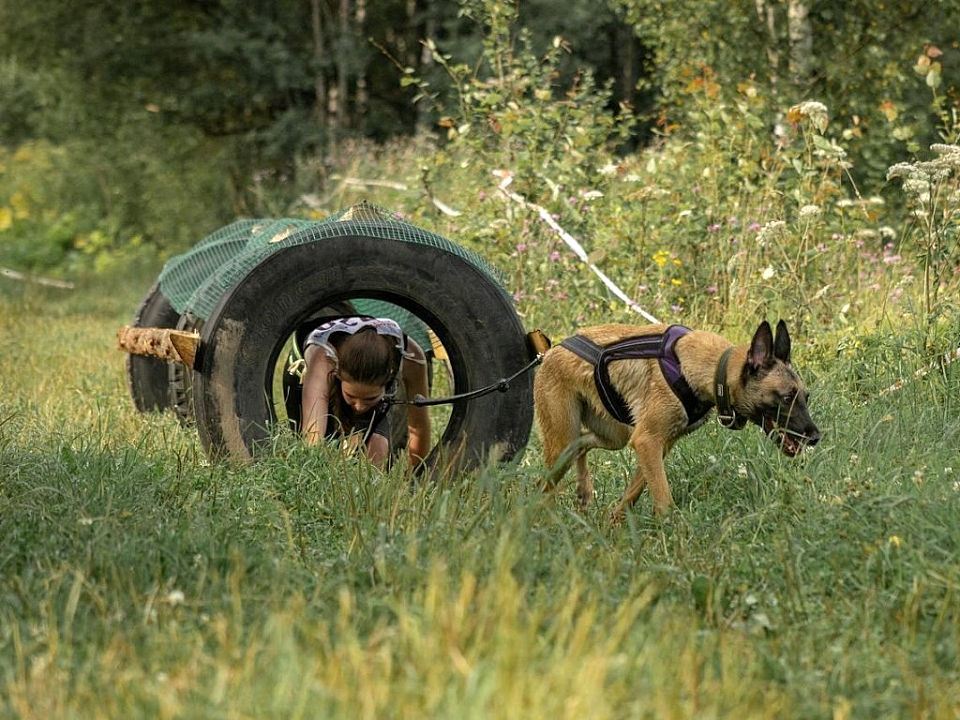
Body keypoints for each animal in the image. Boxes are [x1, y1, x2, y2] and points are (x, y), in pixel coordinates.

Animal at [536, 320, 820, 516]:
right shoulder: (647, 441)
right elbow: (664, 502)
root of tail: (550, 353)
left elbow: (632, 495)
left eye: (806, 397)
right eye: (787, 398)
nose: (816, 437)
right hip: (562, 443)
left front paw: (612, 528)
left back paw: (583, 491)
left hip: (612, 437)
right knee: (545, 483)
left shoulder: (656, 446)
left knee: (582, 443)